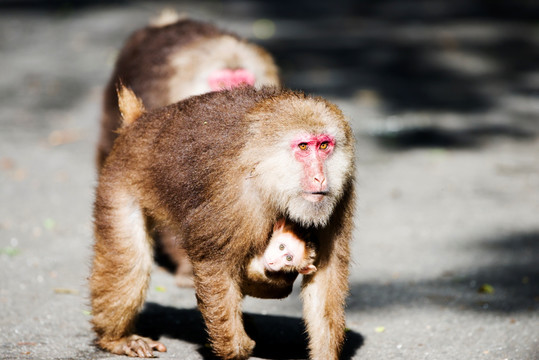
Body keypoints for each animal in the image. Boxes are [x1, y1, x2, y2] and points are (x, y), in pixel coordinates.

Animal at [90, 86, 356, 358]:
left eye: (324, 145)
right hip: (119, 177)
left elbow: (326, 275)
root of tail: (140, 122)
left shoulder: (340, 198)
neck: (269, 177)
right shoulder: (234, 195)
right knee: (130, 260)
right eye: (303, 147)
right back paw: (117, 339)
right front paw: (236, 348)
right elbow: (214, 266)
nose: (320, 178)